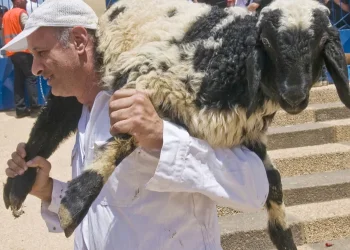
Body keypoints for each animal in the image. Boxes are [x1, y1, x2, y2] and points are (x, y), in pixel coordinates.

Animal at [3, 0, 350, 250]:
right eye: (266, 42)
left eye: (321, 43)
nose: (294, 96)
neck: (229, 59)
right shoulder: (146, 74)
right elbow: (125, 139)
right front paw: (74, 205)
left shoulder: (242, 134)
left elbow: (271, 181)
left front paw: (283, 237)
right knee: (52, 120)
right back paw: (17, 186)